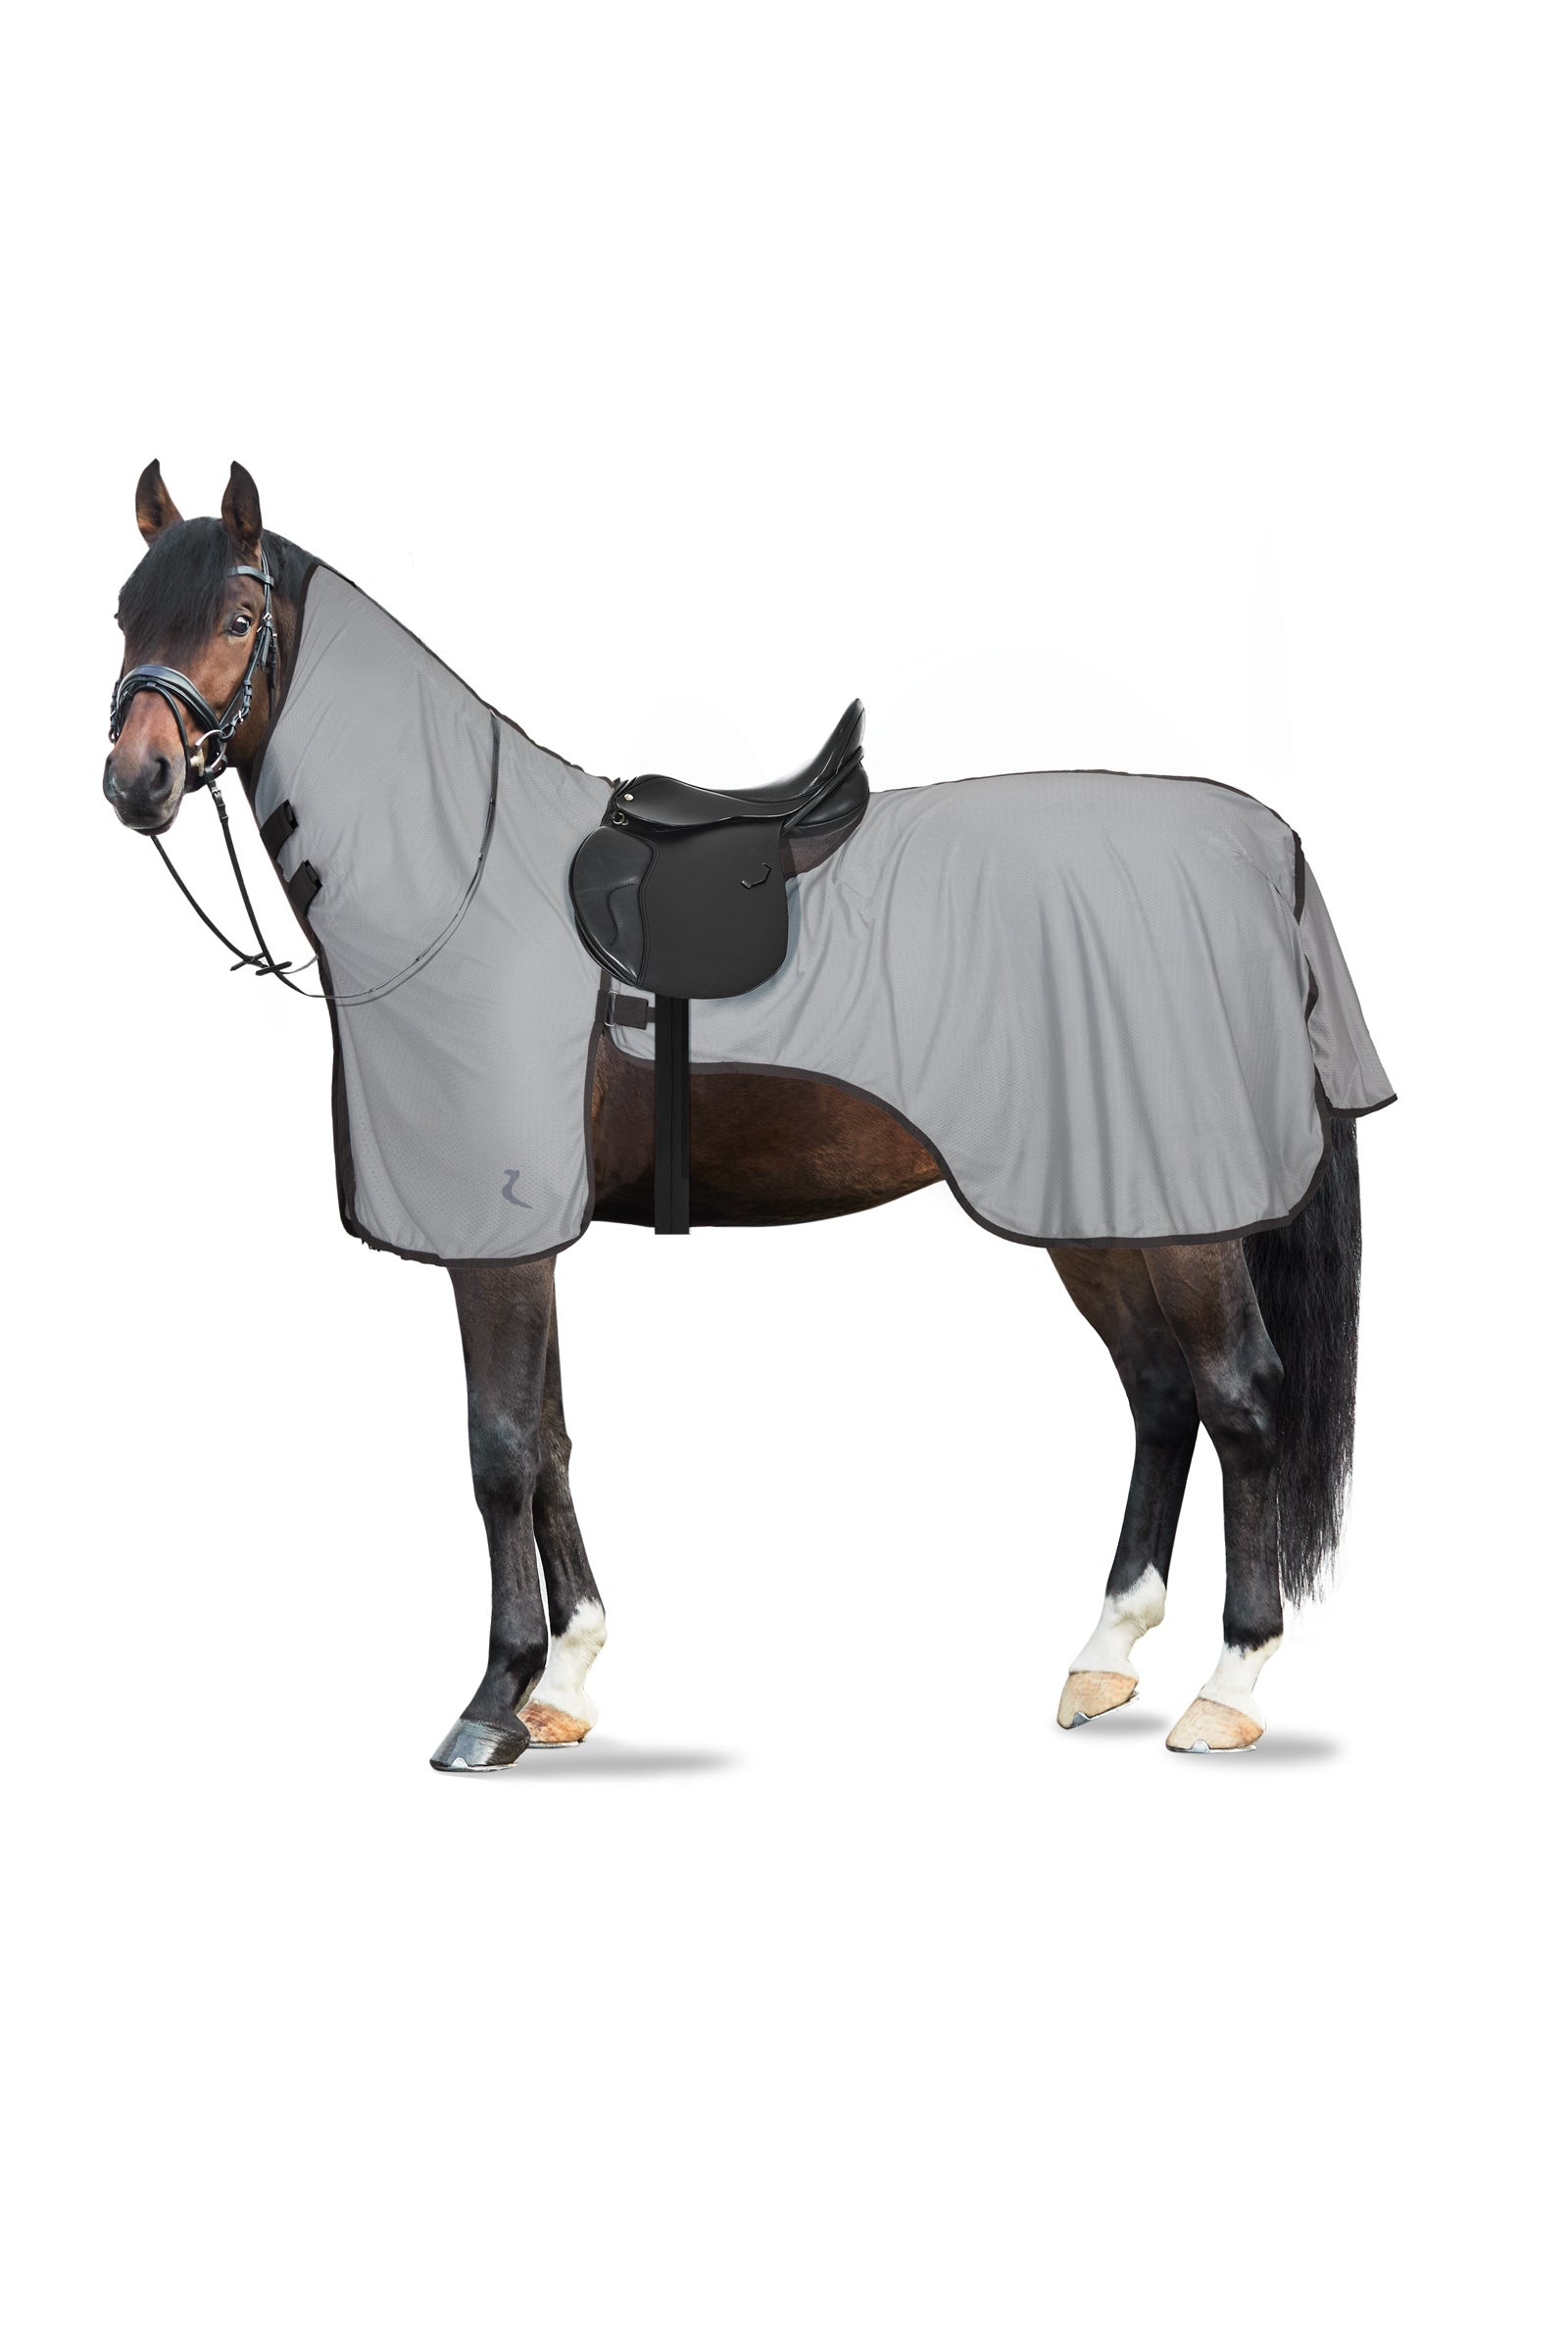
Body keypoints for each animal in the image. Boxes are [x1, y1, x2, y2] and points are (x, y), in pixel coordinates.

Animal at [103, 459, 1386, 1770]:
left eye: (237, 619)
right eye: (123, 615)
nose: (135, 782)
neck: (456, 874)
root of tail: (1269, 851)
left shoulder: (495, 1238)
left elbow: (499, 1448)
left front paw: (493, 1699)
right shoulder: (532, 1240)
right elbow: (552, 1441)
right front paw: (566, 1680)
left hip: (1185, 1220)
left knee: (1240, 1400)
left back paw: (1228, 1685)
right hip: (1101, 1208)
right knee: (1161, 1396)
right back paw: (1104, 1656)